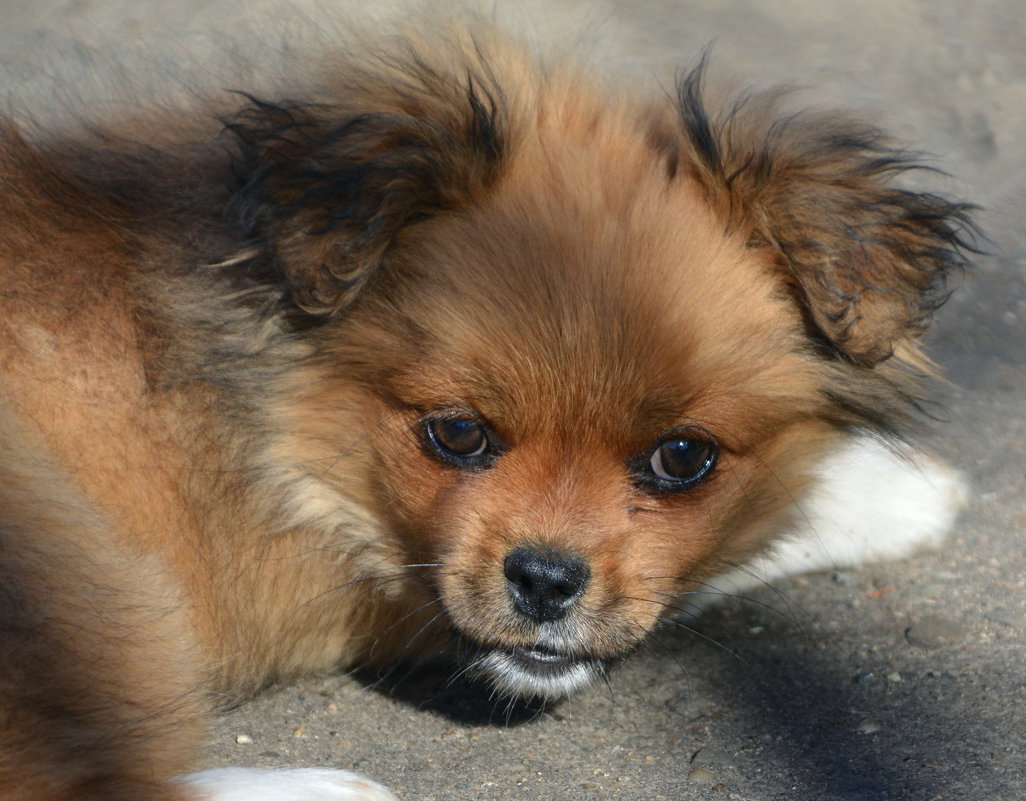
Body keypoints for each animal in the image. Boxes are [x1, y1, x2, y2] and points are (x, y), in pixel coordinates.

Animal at [0, 26, 976, 799]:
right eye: (459, 433)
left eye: (681, 457)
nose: (544, 580)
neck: (278, 407)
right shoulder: (364, 585)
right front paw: (894, 490)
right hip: (75, 561)